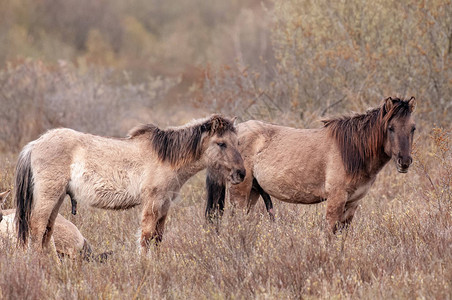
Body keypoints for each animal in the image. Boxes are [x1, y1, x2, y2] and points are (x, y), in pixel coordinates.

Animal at [14, 115, 245, 253]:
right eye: (221, 143)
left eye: (238, 142)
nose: (241, 173)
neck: (166, 157)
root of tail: (35, 144)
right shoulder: (152, 202)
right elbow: (146, 236)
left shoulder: (164, 204)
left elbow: (158, 237)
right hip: (49, 195)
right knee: (37, 227)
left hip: (58, 196)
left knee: (47, 231)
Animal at [207, 96, 414, 232]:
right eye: (390, 128)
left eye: (413, 128)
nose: (404, 162)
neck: (352, 151)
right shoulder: (336, 199)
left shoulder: (352, 203)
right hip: (240, 191)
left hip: (253, 191)